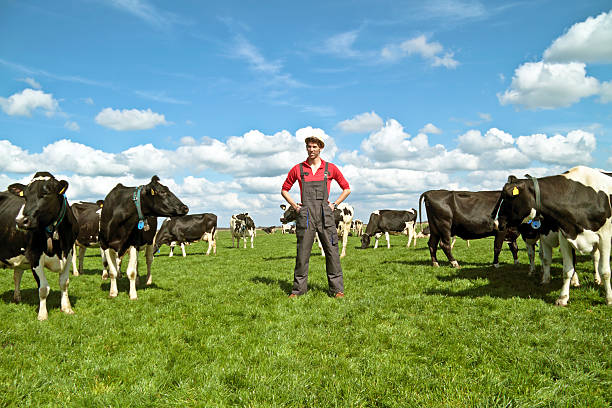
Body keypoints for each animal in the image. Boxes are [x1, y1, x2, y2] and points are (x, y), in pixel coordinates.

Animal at [494, 166, 612, 306]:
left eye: (507, 197)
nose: (496, 223)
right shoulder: (565, 236)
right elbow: (566, 269)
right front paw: (563, 297)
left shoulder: (605, 237)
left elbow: (605, 271)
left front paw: (609, 299)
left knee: (596, 258)